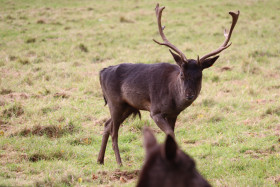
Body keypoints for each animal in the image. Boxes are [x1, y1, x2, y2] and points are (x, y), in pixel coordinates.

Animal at [97, 3, 240, 165]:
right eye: (182, 74)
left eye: (200, 76)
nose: (189, 95)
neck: (173, 98)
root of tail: (102, 72)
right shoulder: (155, 111)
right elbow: (170, 134)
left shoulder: (173, 114)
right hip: (114, 102)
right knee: (114, 132)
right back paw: (119, 163)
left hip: (128, 106)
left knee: (107, 125)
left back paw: (100, 160)